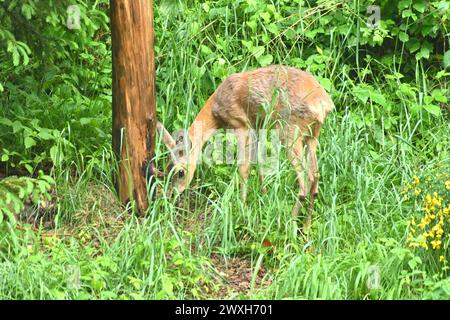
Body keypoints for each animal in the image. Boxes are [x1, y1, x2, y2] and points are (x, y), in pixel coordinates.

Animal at [158, 65, 334, 231]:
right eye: (166, 168)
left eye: (180, 172)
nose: (172, 195)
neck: (215, 111)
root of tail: (323, 103)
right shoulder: (257, 125)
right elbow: (260, 163)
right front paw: (263, 197)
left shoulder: (240, 124)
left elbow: (243, 168)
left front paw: (242, 208)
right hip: (312, 136)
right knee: (315, 174)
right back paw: (306, 226)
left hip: (290, 131)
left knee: (305, 178)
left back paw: (290, 223)